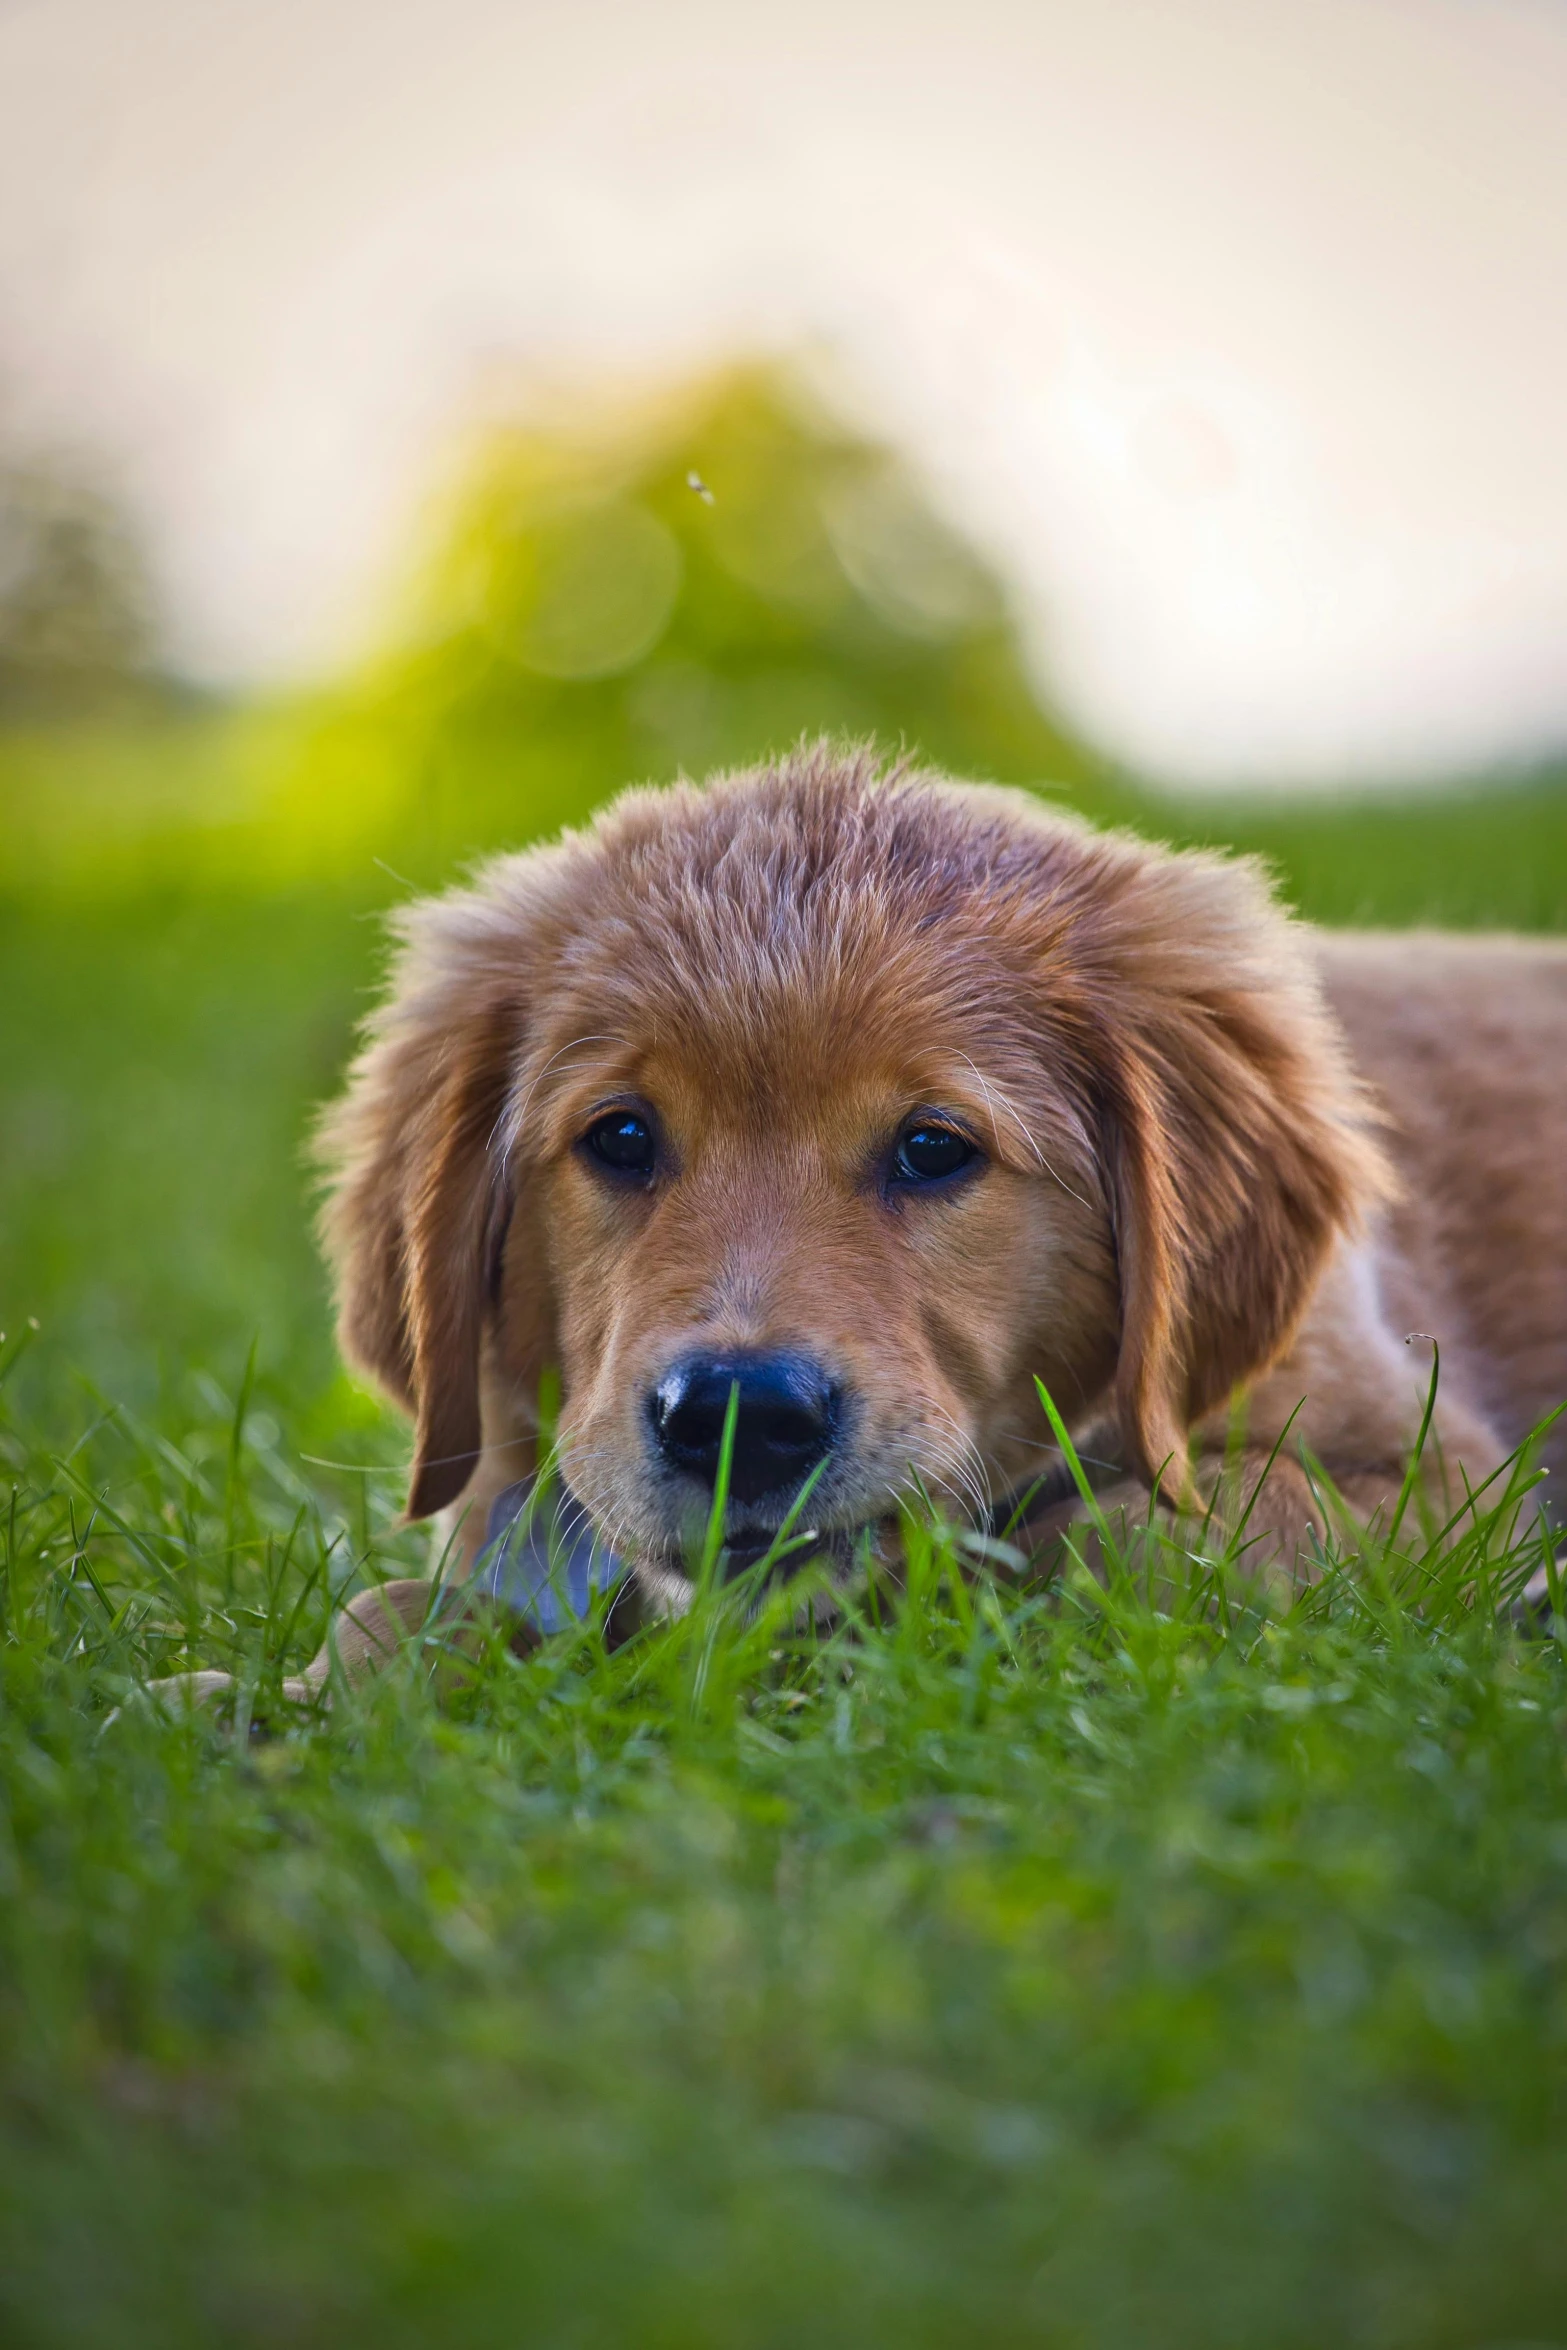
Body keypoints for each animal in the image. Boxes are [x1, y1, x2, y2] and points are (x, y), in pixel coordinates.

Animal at [303, 742, 1559, 1644]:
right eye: (619, 1136)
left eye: (931, 1148)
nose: (737, 1417)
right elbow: (398, 1611)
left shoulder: (1446, 1487)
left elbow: (1206, 1513)